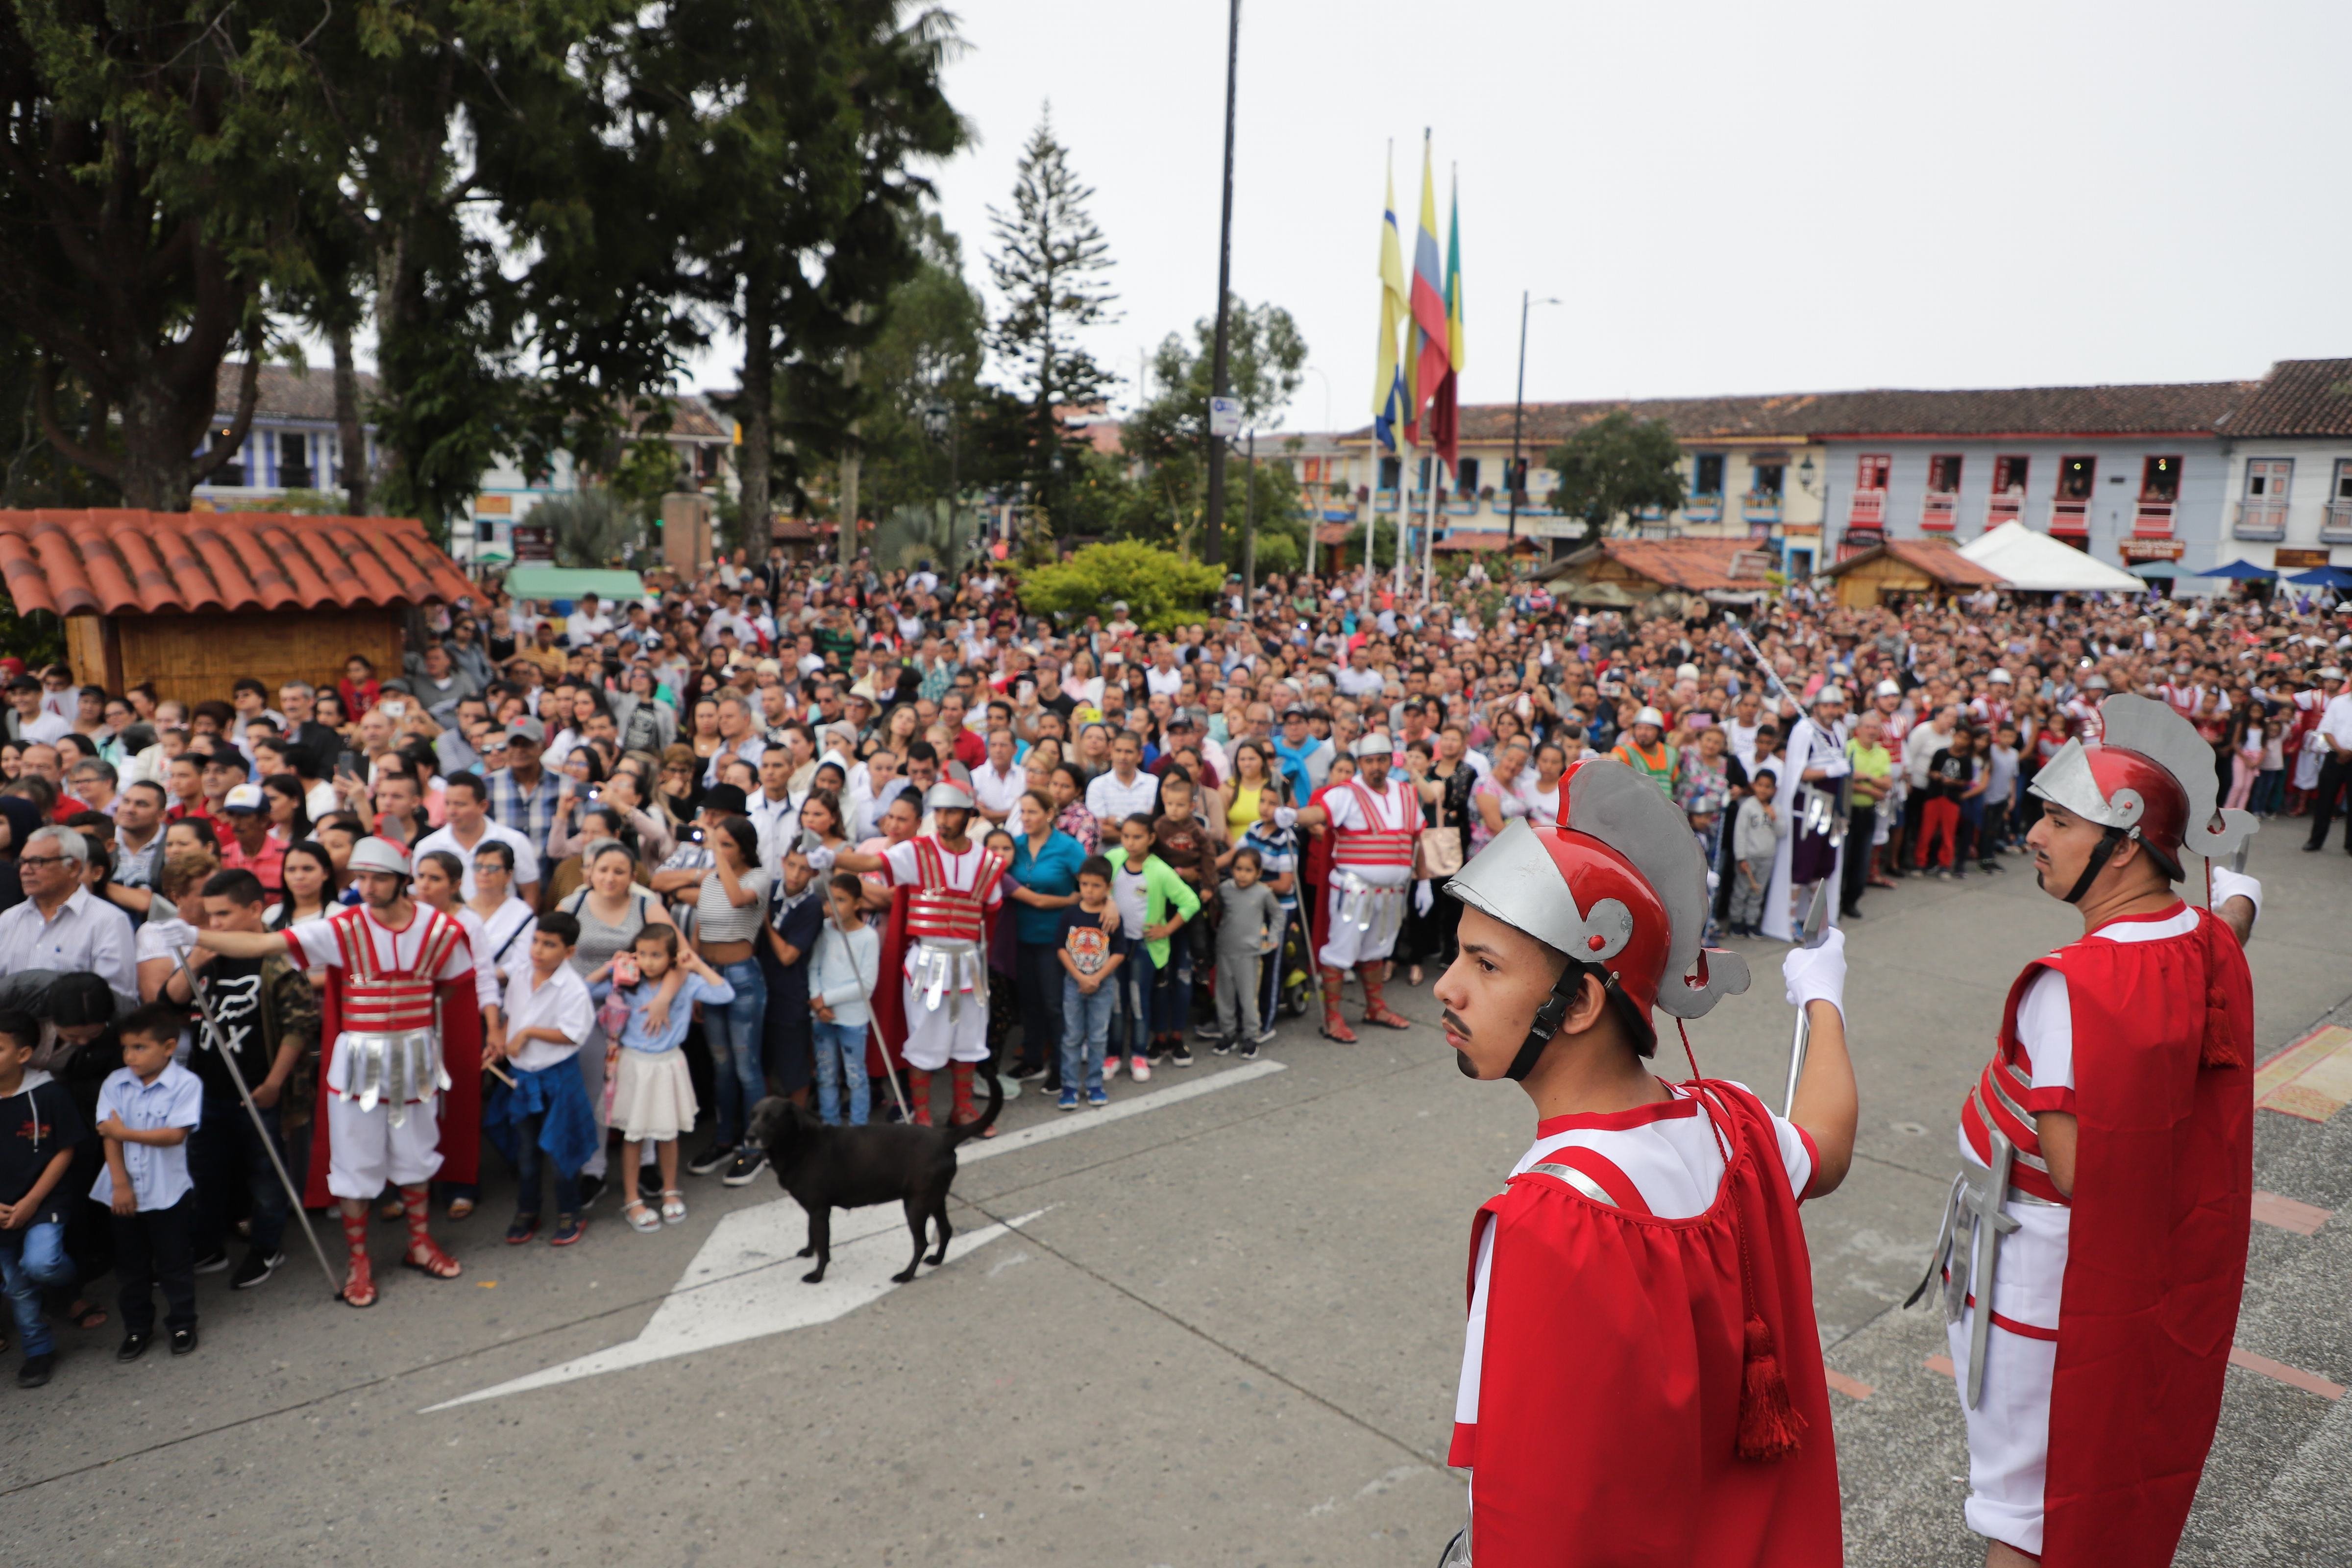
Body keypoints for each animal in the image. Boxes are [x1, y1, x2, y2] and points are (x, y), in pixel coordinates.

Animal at [748, 1062, 1006, 1278]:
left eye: (771, 1118)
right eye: (752, 1116)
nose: (748, 1137)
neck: (798, 1143)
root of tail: (944, 1138)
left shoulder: (820, 1211)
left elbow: (824, 1248)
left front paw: (817, 1276)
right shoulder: (813, 1210)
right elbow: (812, 1236)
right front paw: (808, 1253)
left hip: (916, 1204)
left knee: (921, 1243)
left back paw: (906, 1275)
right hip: (935, 1199)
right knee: (946, 1230)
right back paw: (936, 1260)